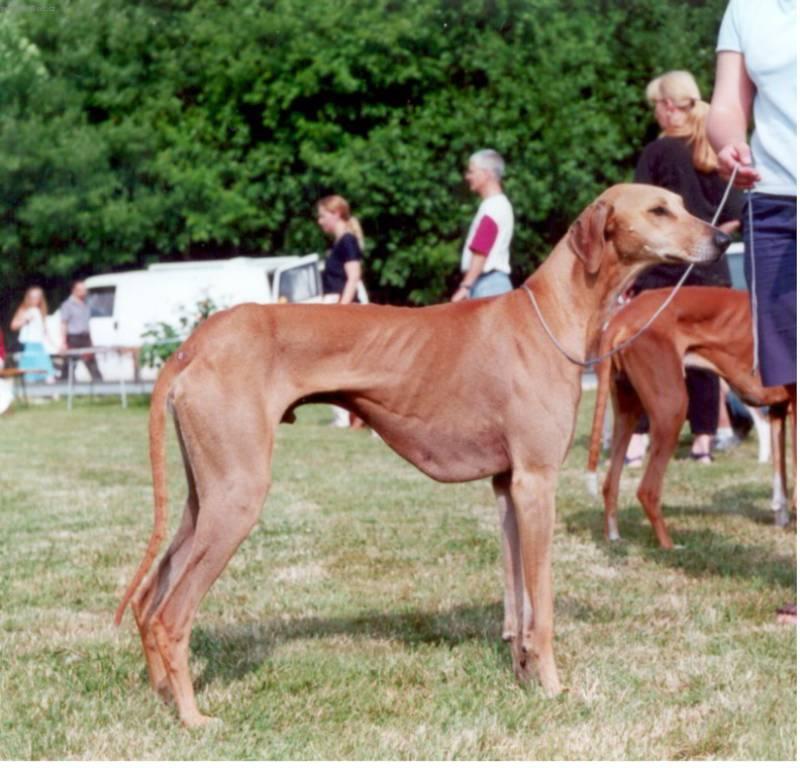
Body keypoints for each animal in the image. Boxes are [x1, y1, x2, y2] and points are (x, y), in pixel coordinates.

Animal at [114, 183, 732, 724]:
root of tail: (196, 341)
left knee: (148, 600)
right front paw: (554, 689)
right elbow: (544, 607)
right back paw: (192, 717)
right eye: (659, 209)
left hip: (205, 499)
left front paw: (522, 677)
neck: (549, 315)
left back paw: (163, 698)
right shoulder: (537, 482)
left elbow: (516, 604)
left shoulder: (508, 486)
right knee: (170, 615)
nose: (722, 239)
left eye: (680, 204)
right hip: (238, 499)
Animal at [584, 284, 792, 548]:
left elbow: (781, 478)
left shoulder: (779, 410)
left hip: (627, 413)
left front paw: (782, 518)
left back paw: (614, 537)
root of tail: (620, 318)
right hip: (672, 407)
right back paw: (670, 547)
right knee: (647, 490)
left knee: (611, 483)